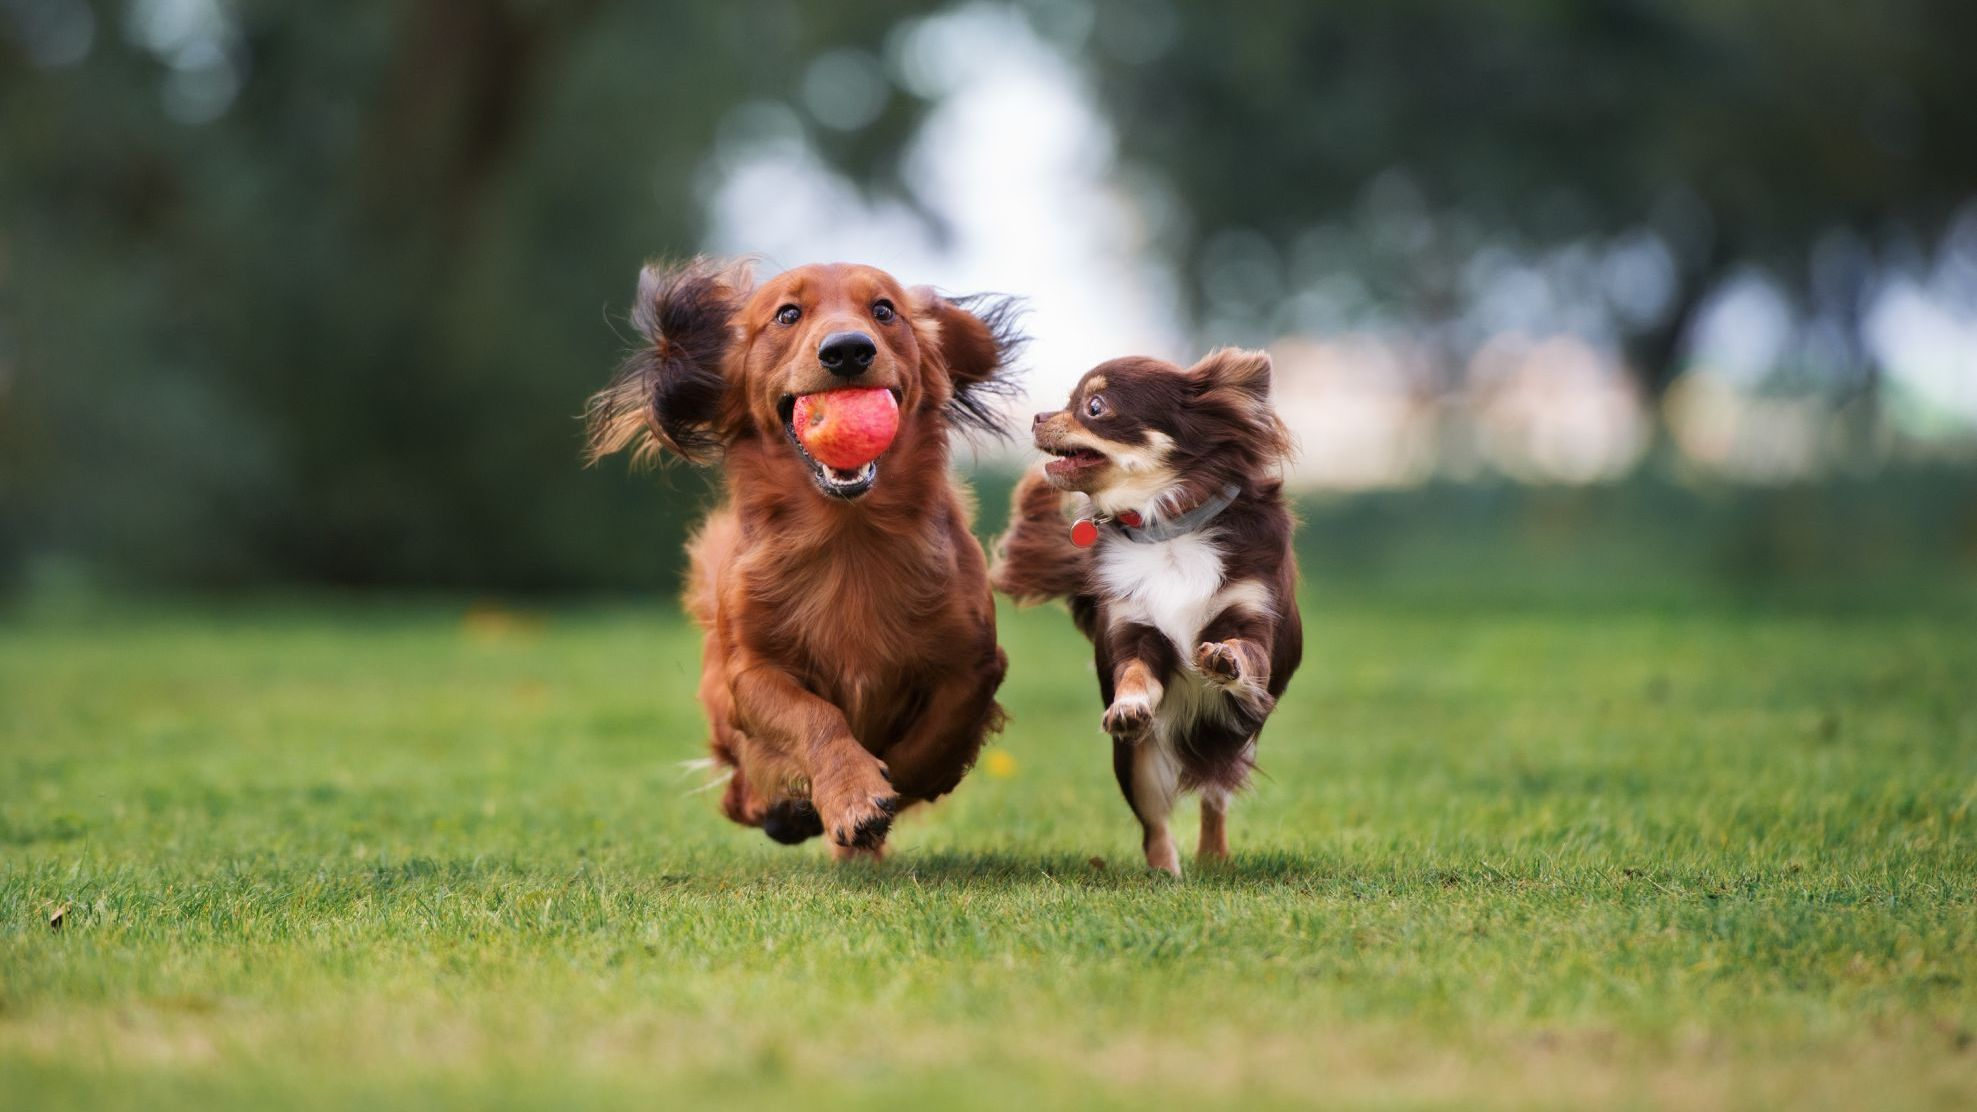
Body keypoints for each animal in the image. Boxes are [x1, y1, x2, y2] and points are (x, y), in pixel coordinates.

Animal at [585, 257, 1020, 858]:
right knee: (738, 791)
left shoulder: (974, 662)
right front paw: (851, 793)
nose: (847, 350)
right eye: (787, 314)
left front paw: (889, 787)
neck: (848, 537)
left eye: (884, 310)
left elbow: (933, 739)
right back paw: (784, 810)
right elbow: (815, 717)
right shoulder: (751, 672)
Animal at [996, 350, 1304, 870]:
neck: (1166, 530)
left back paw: (1213, 857)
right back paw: (1165, 873)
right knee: (1155, 825)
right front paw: (1129, 705)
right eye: (1068, 402)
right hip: (1136, 763)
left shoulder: (1253, 618)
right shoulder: (1134, 631)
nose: (1038, 416)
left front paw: (1225, 658)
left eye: (1094, 407)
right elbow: (1136, 674)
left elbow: (1245, 650)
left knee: (1214, 797)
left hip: (1231, 742)